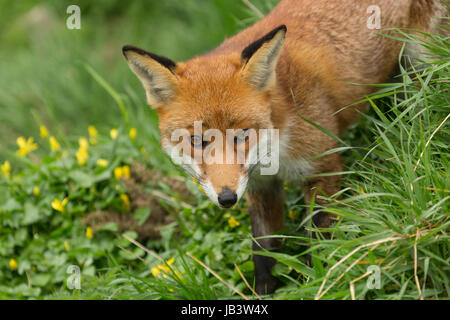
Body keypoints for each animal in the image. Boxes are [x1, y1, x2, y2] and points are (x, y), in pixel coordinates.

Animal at [122, 0, 446, 296]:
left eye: (242, 135)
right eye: (197, 141)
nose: (227, 198)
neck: (276, 150)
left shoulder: (322, 169)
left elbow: (320, 243)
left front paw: (318, 284)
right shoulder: (260, 187)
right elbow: (263, 254)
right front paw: (263, 294)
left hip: (423, 60)